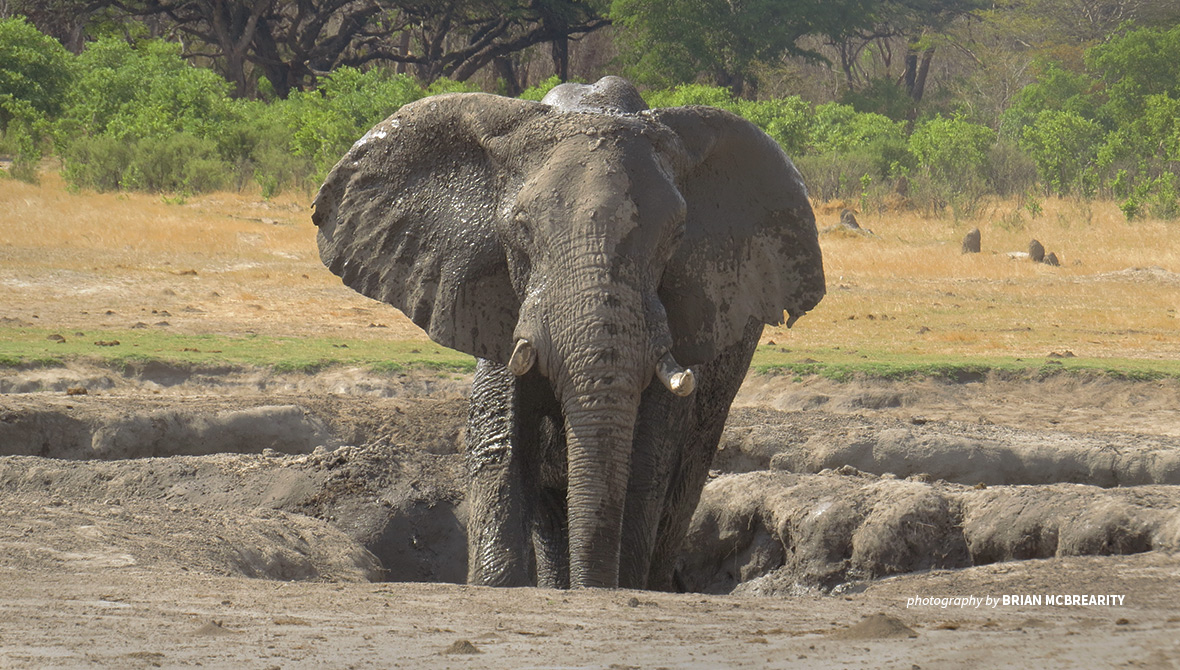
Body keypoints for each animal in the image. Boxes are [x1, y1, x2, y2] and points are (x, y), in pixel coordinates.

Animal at [316, 76, 830, 589]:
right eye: (520, 229)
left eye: (675, 236)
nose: (595, 586)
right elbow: (497, 444)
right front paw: (498, 584)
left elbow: (646, 460)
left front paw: (615, 583)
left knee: (680, 487)